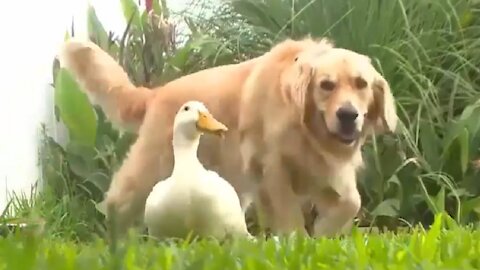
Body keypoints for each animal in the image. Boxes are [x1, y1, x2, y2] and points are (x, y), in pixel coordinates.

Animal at [238, 39, 400, 237]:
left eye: (361, 83)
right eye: (326, 85)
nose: (348, 115)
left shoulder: (324, 169)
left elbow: (353, 201)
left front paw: (324, 231)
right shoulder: (272, 165)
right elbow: (289, 214)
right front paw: (298, 239)